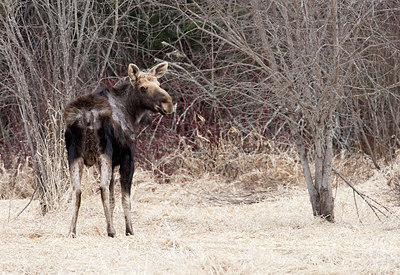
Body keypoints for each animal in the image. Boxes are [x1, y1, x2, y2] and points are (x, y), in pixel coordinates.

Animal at [64, 62, 173, 237]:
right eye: (143, 87)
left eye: (158, 83)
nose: (168, 103)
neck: (132, 113)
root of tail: (86, 116)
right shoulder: (127, 159)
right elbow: (125, 199)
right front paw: (129, 230)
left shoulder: (113, 162)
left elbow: (113, 199)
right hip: (103, 153)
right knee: (102, 188)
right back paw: (111, 230)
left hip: (74, 155)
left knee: (77, 190)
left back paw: (72, 231)